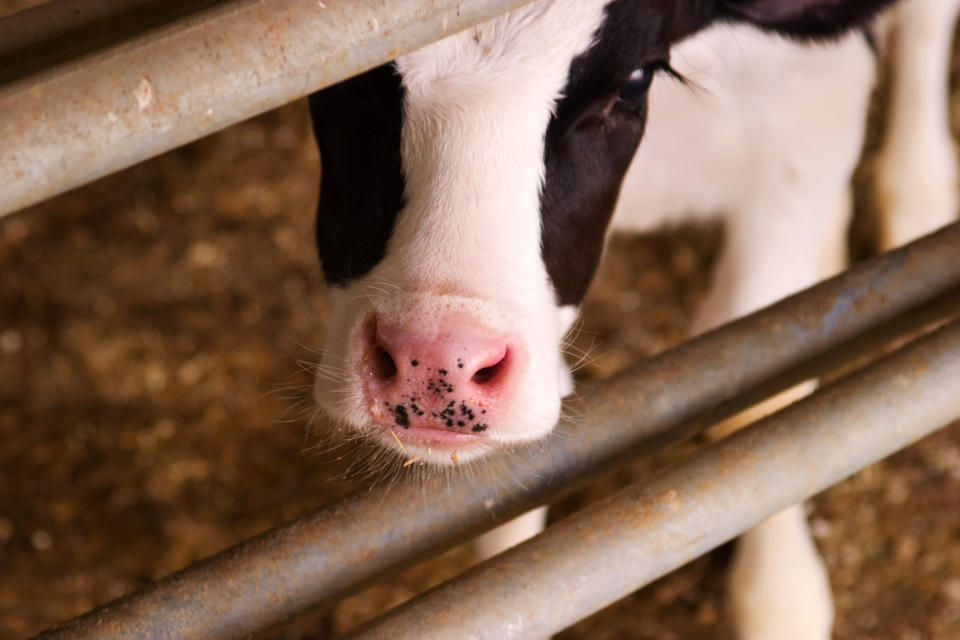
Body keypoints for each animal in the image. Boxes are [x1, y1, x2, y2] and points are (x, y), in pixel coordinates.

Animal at [306, 2, 952, 636]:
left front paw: (779, 595)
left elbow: (766, 375)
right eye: (349, 78)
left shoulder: (809, 129)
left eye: (635, 81)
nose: (436, 360)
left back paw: (917, 201)